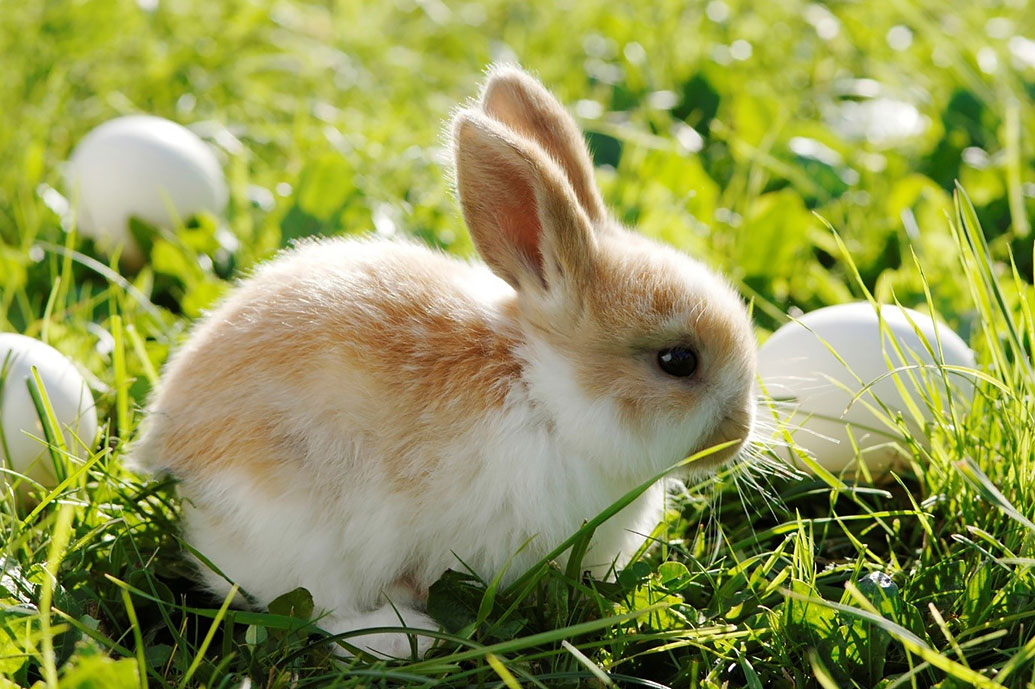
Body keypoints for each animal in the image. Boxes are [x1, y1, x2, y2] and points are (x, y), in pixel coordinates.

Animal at [133, 65, 757, 662]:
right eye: (677, 361)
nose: (737, 434)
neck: (543, 392)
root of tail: (169, 445)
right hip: (304, 531)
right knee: (318, 611)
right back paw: (404, 637)